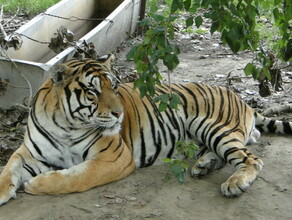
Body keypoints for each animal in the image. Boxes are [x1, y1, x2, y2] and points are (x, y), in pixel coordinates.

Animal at [0, 54, 292, 205]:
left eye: (115, 86)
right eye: (93, 92)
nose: (118, 113)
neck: (65, 125)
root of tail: (241, 99)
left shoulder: (113, 157)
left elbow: (75, 177)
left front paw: (36, 184)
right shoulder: (28, 152)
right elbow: (8, 170)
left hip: (210, 125)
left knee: (251, 159)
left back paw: (234, 183)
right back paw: (204, 166)